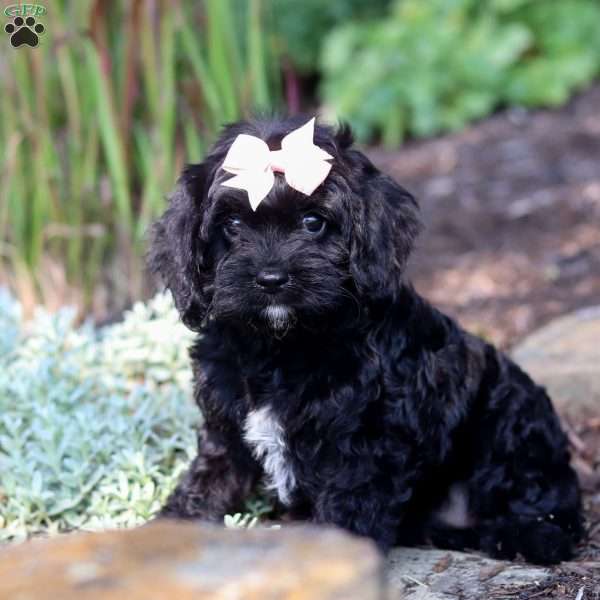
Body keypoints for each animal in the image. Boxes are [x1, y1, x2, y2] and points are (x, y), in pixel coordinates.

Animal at [149, 116, 580, 564]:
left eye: (314, 222)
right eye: (232, 225)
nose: (271, 279)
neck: (280, 344)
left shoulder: (364, 443)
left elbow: (347, 507)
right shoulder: (226, 426)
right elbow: (208, 480)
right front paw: (167, 530)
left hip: (509, 412)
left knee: (549, 505)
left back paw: (526, 533)